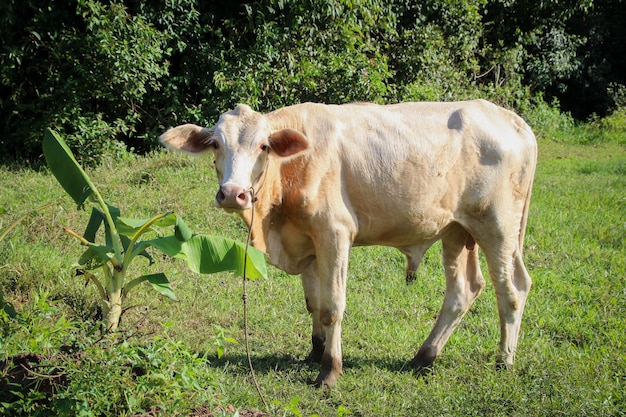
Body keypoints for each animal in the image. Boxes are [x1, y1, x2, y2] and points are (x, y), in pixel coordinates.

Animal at [161, 100, 536, 386]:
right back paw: (424, 357)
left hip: (498, 226)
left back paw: (504, 360)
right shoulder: (307, 240)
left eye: (263, 146)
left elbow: (332, 306)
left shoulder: (335, 233)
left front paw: (330, 370)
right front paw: (315, 352)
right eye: (215, 145)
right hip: (456, 231)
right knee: (463, 291)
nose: (232, 194)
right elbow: (313, 303)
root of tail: (509, 118)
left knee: (512, 288)